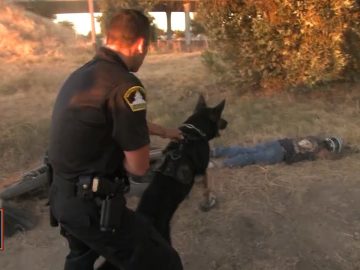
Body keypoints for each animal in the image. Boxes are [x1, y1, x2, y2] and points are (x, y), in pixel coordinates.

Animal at [136, 95, 226, 245]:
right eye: (220, 117)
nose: (227, 123)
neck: (194, 131)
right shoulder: (202, 171)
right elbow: (206, 188)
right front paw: (208, 202)